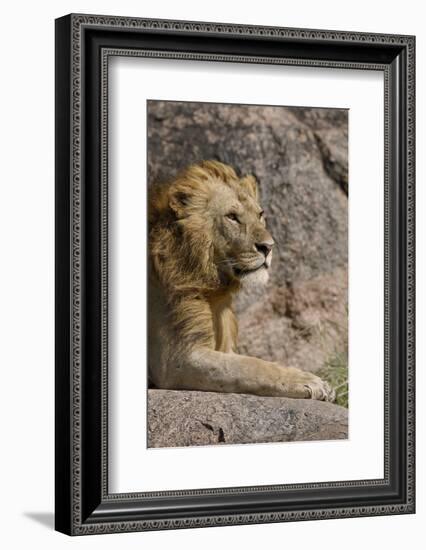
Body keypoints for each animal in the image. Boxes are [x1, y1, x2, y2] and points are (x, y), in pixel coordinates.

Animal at [148, 160, 334, 402]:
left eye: (260, 214)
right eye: (232, 217)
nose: (268, 247)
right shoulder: (177, 359)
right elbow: (252, 367)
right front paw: (310, 381)